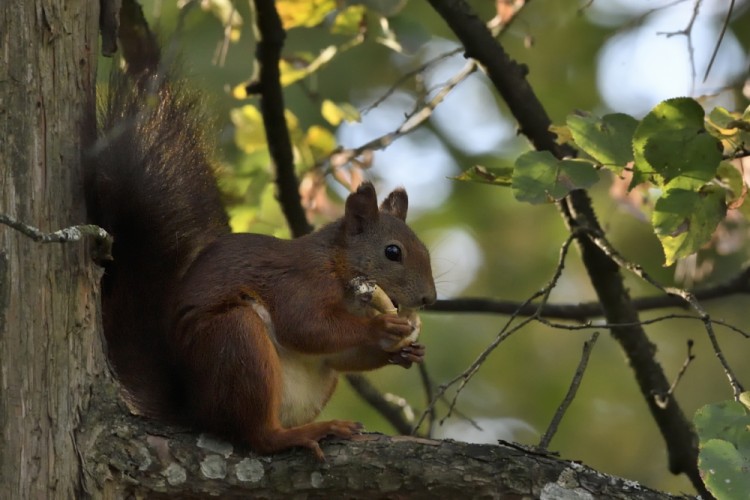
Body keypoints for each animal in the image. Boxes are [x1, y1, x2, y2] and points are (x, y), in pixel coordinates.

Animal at [85, 8, 438, 460]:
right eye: (393, 252)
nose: (429, 299)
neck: (338, 264)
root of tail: (195, 410)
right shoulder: (299, 282)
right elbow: (306, 325)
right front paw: (381, 331)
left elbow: (340, 354)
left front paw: (407, 350)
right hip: (236, 344)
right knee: (254, 434)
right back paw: (298, 434)